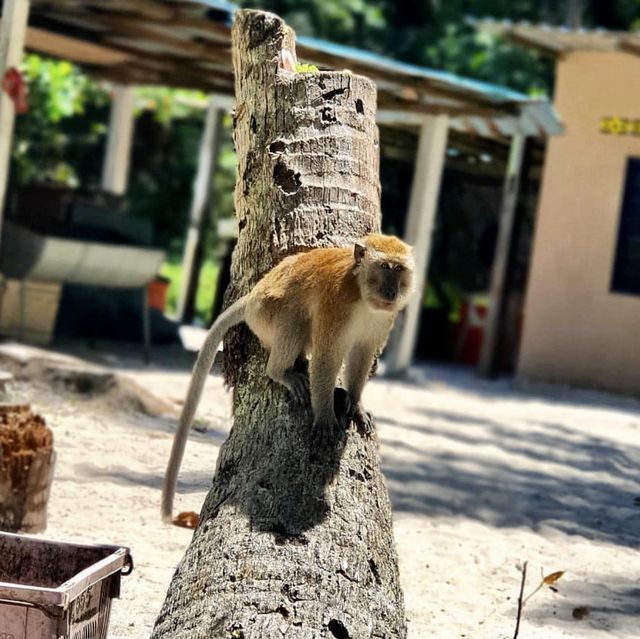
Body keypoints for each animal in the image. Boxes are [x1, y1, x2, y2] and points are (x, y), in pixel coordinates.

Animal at [161, 232, 416, 524]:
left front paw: (356, 403)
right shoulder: (337, 305)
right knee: (293, 318)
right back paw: (281, 371)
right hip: (266, 312)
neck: (362, 294)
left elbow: (362, 353)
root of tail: (252, 295)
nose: (392, 292)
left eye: (399, 269)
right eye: (385, 267)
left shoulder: (383, 318)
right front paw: (325, 415)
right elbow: (327, 357)